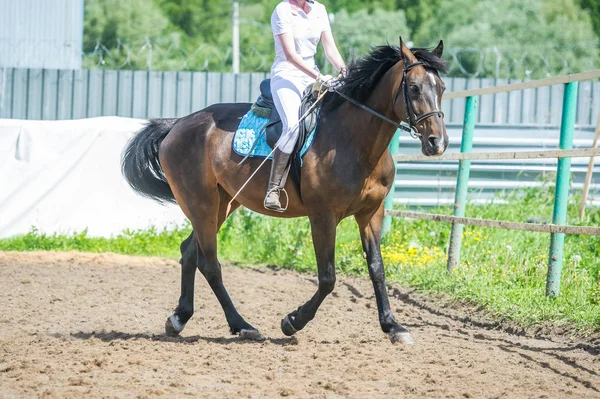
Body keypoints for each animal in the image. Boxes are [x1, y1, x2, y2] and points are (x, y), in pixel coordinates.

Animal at [122, 39, 448, 346]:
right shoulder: (323, 216)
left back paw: (180, 318)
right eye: (414, 88)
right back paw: (242, 325)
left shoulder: (372, 213)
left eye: (442, 88)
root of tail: (178, 124)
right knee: (210, 263)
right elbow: (328, 277)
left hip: (222, 204)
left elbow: (377, 269)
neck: (355, 140)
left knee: (190, 251)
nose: (438, 143)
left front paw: (393, 327)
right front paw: (293, 321)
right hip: (200, 203)